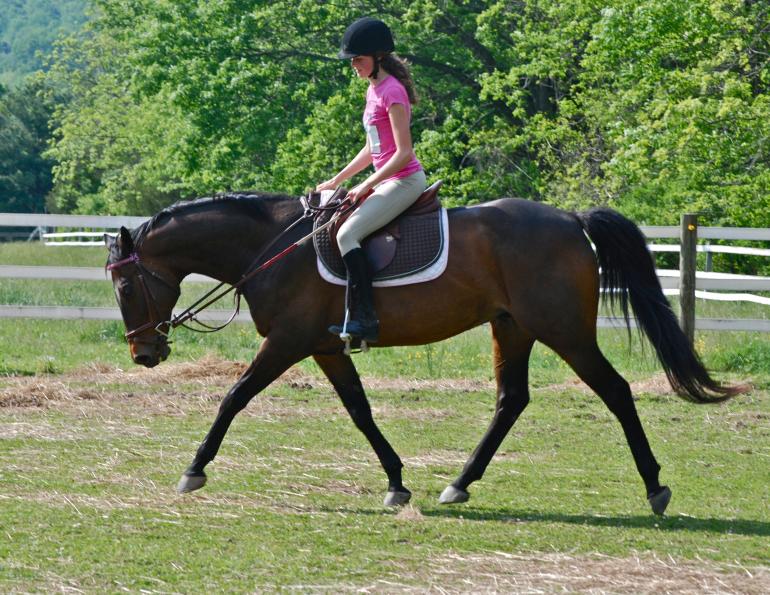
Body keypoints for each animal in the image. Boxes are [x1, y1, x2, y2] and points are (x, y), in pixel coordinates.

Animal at [104, 191, 743, 515]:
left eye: (126, 288)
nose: (144, 354)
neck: (270, 246)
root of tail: (568, 218)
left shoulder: (286, 342)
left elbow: (233, 398)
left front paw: (193, 470)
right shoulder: (323, 346)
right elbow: (360, 411)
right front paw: (396, 482)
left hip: (563, 330)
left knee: (615, 390)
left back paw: (655, 487)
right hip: (512, 327)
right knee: (511, 400)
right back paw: (459, 483)